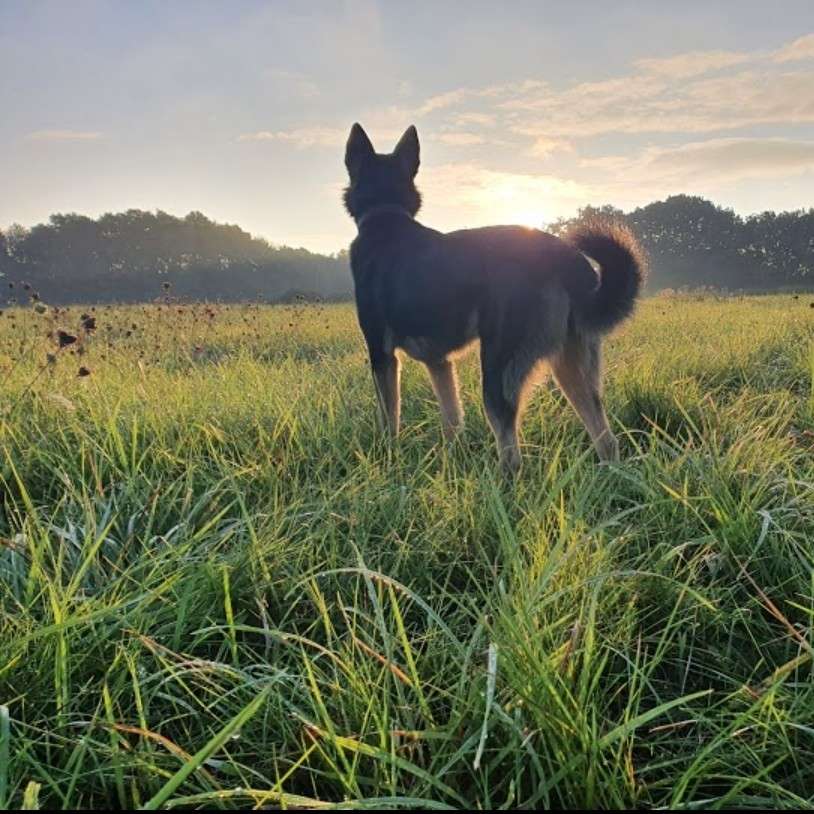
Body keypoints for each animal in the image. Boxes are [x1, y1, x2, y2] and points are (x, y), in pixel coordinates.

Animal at [342, 121, 648, 472]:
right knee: (606, 438)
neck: (385, 215)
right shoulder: (439, 362)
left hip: (499, 371)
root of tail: (566, 260)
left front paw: (387, 458)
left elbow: (389, 418)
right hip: (573, 369)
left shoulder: (382, 355)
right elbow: (452, 419)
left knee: (511, 452)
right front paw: (452, 462)